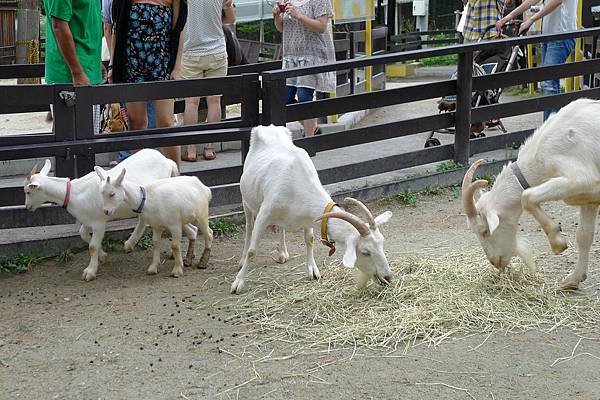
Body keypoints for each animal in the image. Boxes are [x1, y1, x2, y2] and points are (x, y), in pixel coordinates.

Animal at [24, 149, 197, 282]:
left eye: (28, 191)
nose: (27, 207)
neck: (74, 193)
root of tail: (168, 161)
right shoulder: (88, 220)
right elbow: (83, 235)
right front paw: (103, 256)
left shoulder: (99, 222)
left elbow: (92, 246)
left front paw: (90, 271)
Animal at [231, 126, 394, 296]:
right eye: (365, 252)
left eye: (382, 244)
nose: (388, 277)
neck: (296, 185)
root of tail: (267, 127)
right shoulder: (264, 215)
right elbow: (252, 251)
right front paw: (238, 283)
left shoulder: (308, 217)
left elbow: (309, 239)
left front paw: (313, 270)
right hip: (246, 200)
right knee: (249, 227)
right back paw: (242, 260)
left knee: (281, 227)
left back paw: (283, 253)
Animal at [462, 98, 600, 290]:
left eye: (484, 231)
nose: (495, 262)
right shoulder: (589, 199)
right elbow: (584, 236)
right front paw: (573, 280)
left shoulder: (584, 180)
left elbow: (526, 196)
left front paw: (558, 243)